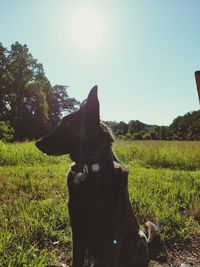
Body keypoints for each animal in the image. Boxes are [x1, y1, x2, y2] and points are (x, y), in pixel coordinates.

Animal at [35, 87, 158, 266]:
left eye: (68, 125)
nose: (37, 142)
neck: (91, 167)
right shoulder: (77, 227)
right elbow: (76, 260)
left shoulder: (113, 236)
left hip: (137, 239)